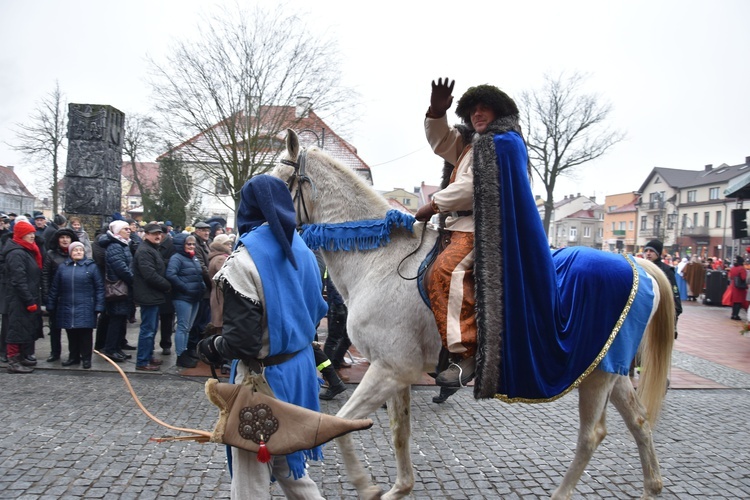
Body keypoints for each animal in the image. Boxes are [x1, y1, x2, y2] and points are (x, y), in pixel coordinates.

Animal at [274, 130, 680, 500]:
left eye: (277, 179)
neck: (380, 260)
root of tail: (636, 263)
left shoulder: (390, 369)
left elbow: (343, 423)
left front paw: (365, 485)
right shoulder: (396, 372)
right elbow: (399, 433)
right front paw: (399, 488)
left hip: (596, 375)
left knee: (592, 435)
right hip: (609, 368)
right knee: (639, 422)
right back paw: (652, 488)